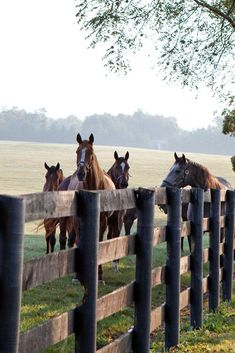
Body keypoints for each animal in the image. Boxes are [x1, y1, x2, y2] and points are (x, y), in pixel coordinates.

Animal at [75, 132, 115, 280]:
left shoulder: (102, 221)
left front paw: (99, 274)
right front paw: (77, 275)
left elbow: (99, 242)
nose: (81, 173)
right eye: (77, 151)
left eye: (90, 153)